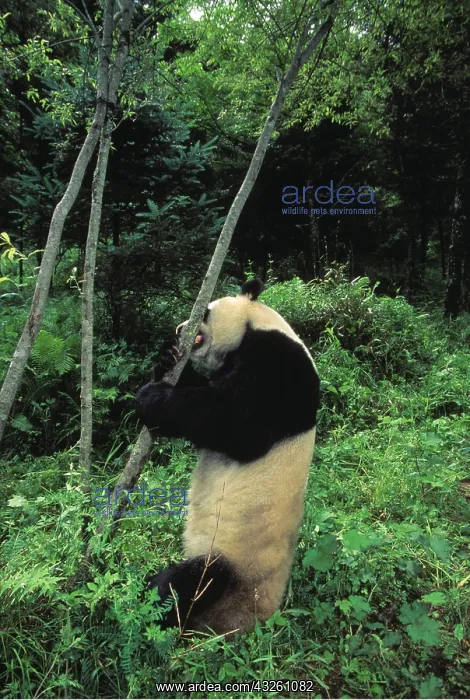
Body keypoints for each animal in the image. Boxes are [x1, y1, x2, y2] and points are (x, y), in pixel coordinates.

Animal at [135, 279, 320, 635]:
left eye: (206, 311)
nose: (180, 329)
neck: (256, 325)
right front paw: (166, 358)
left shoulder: (281, 371)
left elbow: (234, 423)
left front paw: (151, 398)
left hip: (233, 563)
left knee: (186, 584)